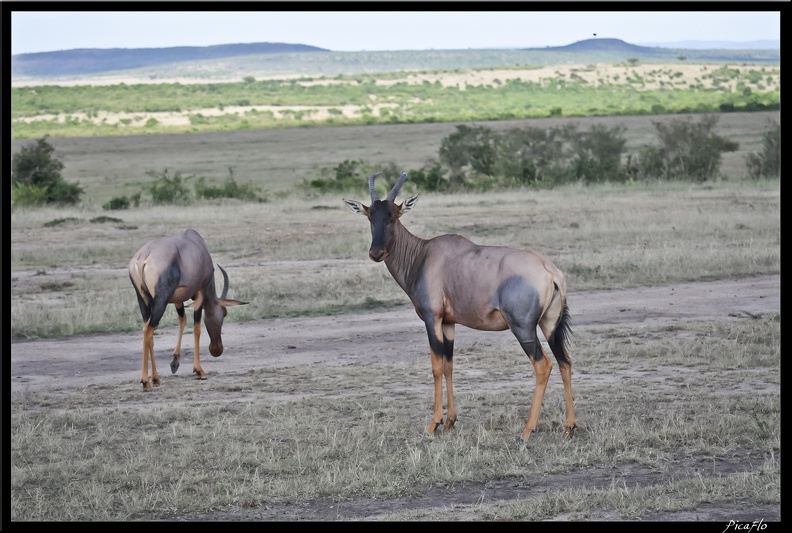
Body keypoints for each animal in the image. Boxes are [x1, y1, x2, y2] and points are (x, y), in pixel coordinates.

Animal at [127, 227, 248, 388]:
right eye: (224, 313)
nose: (217, 349)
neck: (196, 244)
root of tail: (143, 256)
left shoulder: (178, 299)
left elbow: (182, 319)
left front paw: (175, 363)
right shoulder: (200, 291)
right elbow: (197, 328)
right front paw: (199, 371)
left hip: (143, 299)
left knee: (150, 332)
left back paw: (156, 378)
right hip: (161, 300)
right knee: (148, 329)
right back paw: (146, 382)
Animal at [344, 174, 576, 440]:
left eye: (393, 215)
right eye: (370, 215)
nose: (376, 252)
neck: (424, 255)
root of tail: (549, 270)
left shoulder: (432, 318)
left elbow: (436, 366)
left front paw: (433, 424)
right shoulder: (448, 323)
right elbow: (449, 365)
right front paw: (450, 421)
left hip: (523, 328)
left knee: (543, 366)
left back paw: (527, 431)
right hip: (550, 325)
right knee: (565, 361)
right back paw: (569, 426)